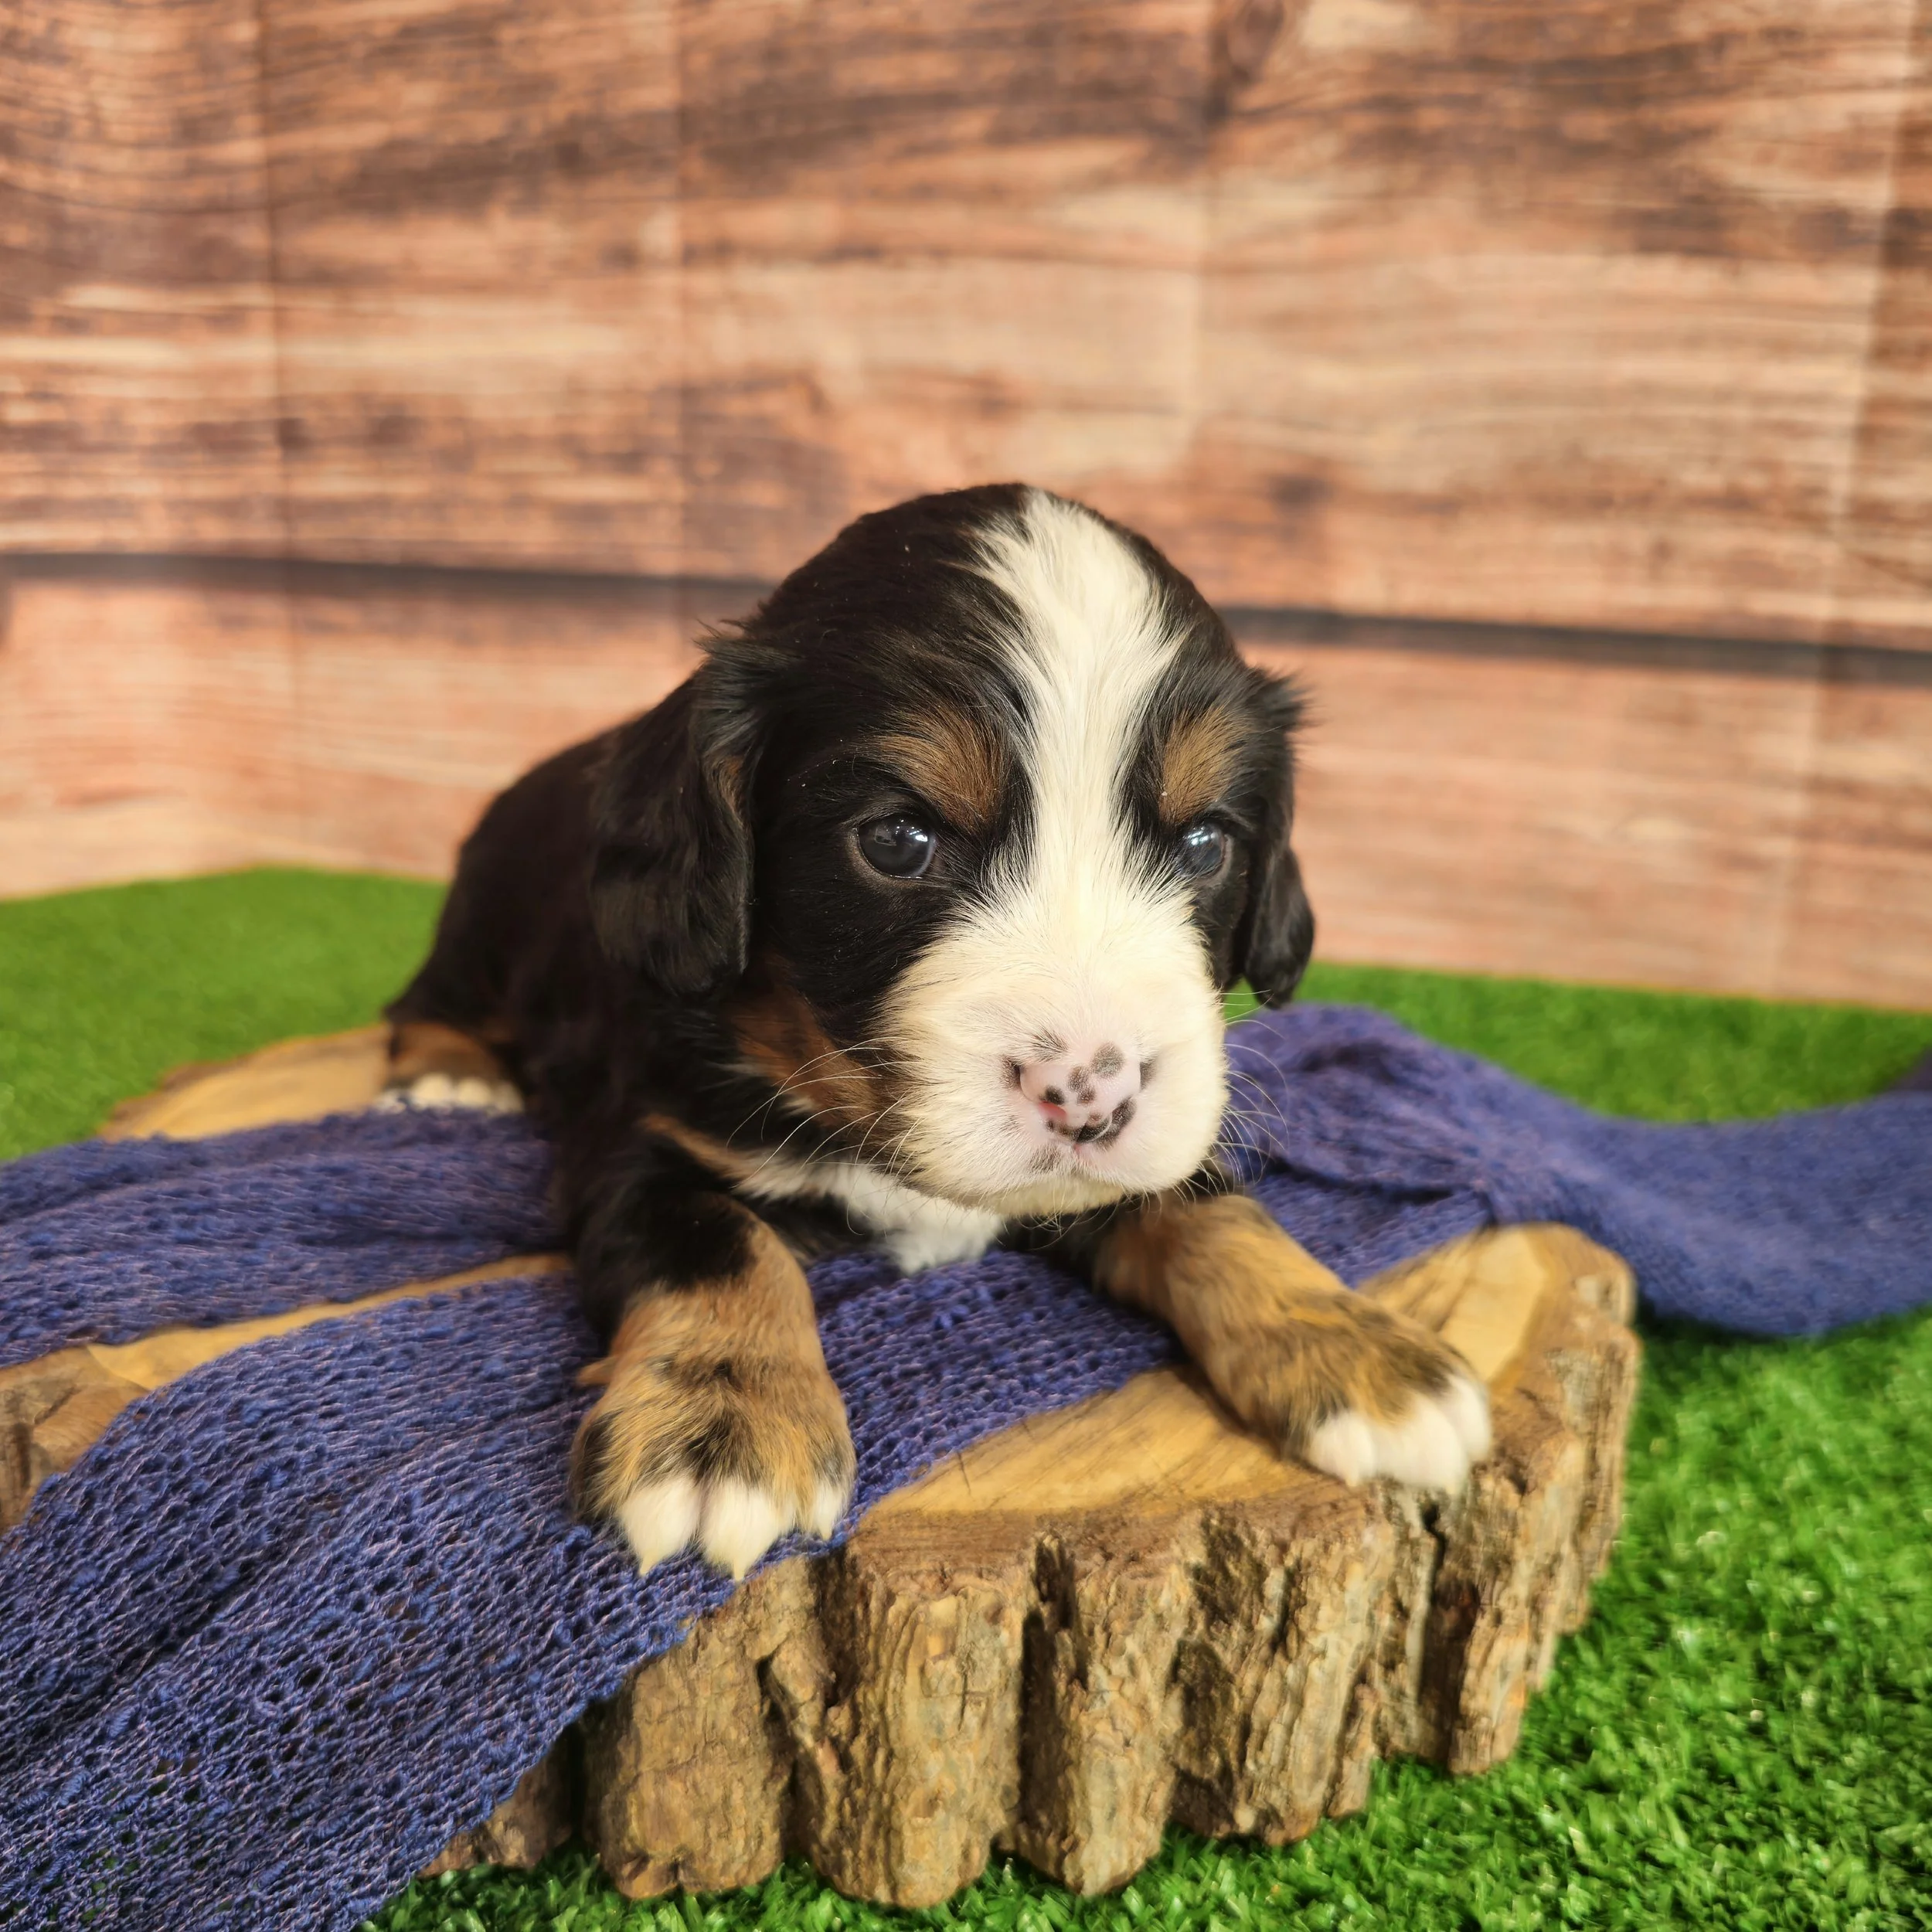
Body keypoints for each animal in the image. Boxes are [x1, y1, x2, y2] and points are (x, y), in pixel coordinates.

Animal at [384, 484, 1490, 1578]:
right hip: (482, 910)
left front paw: (1356, 1347)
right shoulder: (644, 1132)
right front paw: (720, 1427)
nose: (1090, 1093)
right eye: (897, 839)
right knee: (426, 998)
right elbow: (717, 1241)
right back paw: (448, 1078)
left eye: (1206, 842)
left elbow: (1213, 1208)